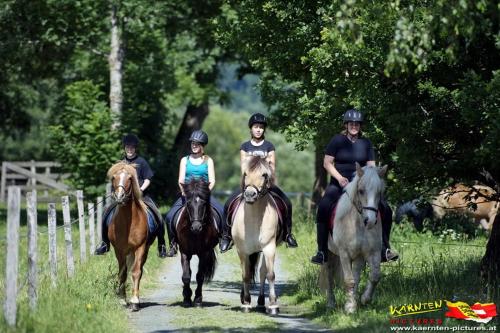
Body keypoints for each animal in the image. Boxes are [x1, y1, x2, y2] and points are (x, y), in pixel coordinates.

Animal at [107, 161, 150, 312]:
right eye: (114, 177)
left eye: (130, 178)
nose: (120, 197)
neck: (127, 222)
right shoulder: (119, 250)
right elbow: (122, 273)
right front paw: (122, 299)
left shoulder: (140, 247)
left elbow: (136, 272)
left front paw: (134, 301)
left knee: (139, 270)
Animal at [231, 156, 282, 314]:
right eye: (245, 173)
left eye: (264, 175)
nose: (249, 195)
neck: (254, 218)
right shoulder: (242, 251)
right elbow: (246, 275)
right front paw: (246, 303)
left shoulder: (269, 247)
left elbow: (270, 275)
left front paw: (273, 305)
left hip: (263, 250)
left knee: (262, 272)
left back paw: (260, 302)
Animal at [318, 165, 388, 312]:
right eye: (361, 191)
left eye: (380, 192)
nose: (370, 221)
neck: (358, 224)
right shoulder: (344, 253)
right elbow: (349, 280)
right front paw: (350, 307)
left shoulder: (371, 253)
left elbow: (374, 276)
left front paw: (363, 300)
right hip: (329, 253)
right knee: (329, 276)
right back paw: (331, 303)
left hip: (356, 258)